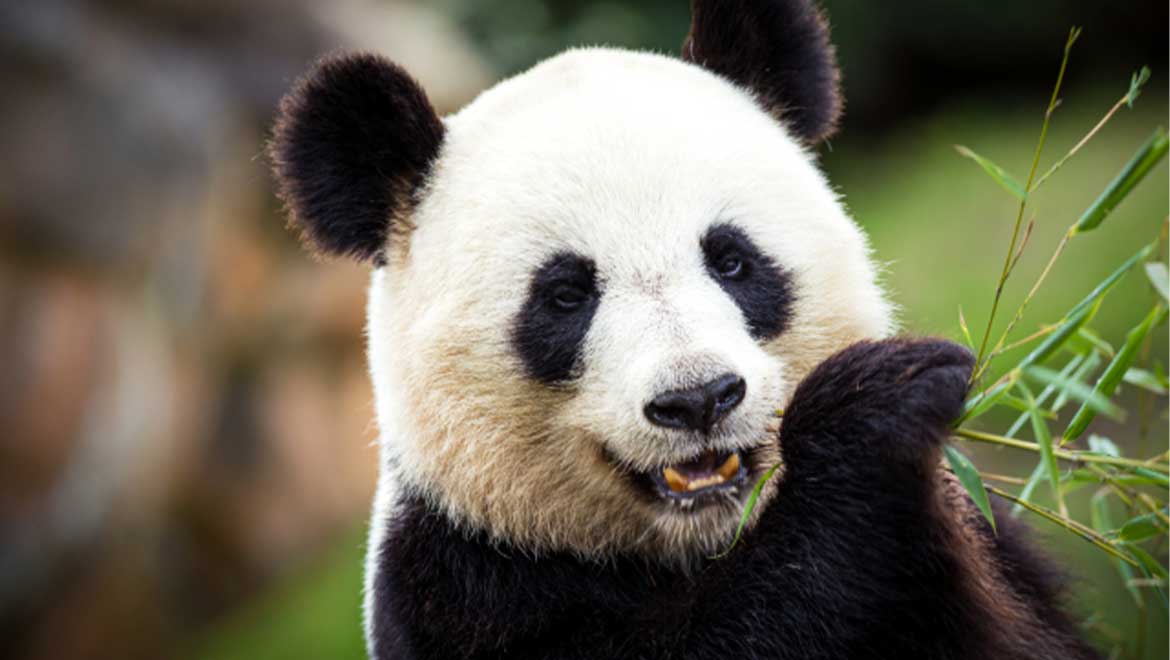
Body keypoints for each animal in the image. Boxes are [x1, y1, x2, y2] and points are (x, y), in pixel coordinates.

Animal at [268, 0, 1101, 658]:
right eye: (564, 297)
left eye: (731, 259)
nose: (698, 399)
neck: (700, 544)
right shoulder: (462, 588)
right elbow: (752, 624)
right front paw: (875, 408)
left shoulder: (987, 539)